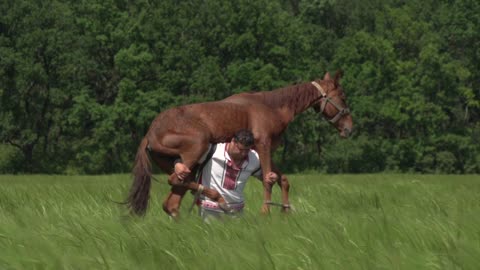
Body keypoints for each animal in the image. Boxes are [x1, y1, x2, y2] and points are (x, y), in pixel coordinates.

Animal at [125, 70, 354, 216]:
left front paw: (285, 212)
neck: (272, 107)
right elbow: (269, 180)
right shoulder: (263, 145)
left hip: (186, 166)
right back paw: (218, 199)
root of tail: (149, 133)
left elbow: (282, 179)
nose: (350, 128)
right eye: (342, 97)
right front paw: (265, 212)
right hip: (197, 147)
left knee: (172, 202)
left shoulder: (264, 151)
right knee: (175, 182)